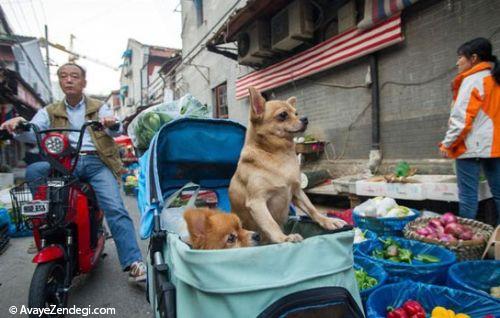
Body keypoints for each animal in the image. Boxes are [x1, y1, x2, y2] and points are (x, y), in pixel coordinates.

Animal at [229, 87, 346, 243]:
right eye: (283, 115)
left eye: (296, 113)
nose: (305, 118)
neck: (279, 154)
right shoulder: (257, 202)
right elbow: (271, 223)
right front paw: (284, 238)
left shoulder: (297, 192)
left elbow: (311, 208)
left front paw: (327, 221)